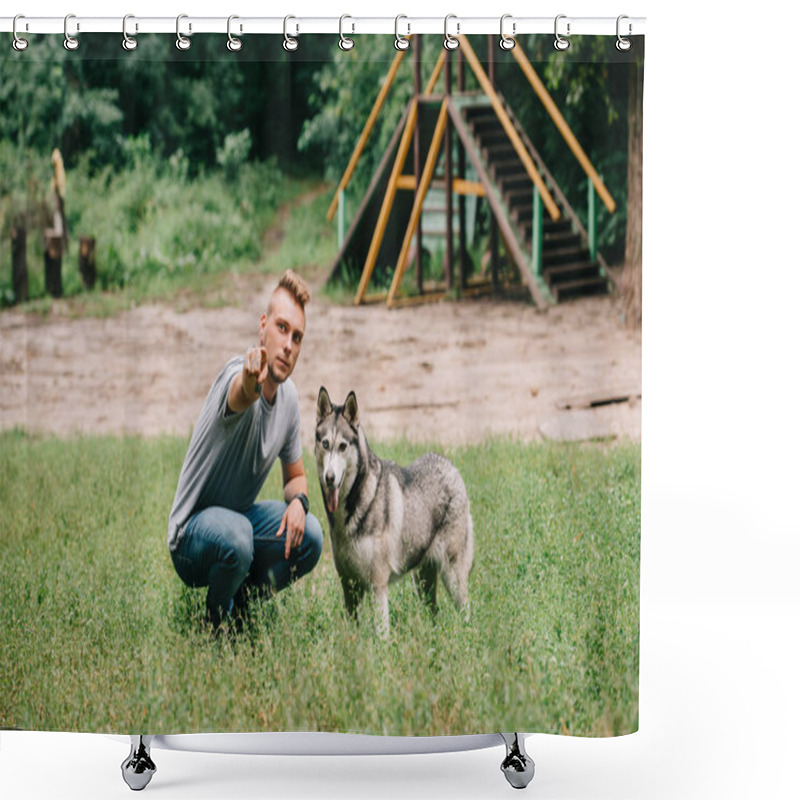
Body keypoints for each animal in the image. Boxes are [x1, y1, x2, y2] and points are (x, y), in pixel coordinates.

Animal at [314, 388, 476, 636]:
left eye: (342, 446)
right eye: (325, 444)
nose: (329, 478)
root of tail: (451, 466)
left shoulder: (377, 585)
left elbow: (381, 634)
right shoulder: (349, 586)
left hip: (452, 575)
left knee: (466, 610)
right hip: (423, 582)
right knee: (435, 612)